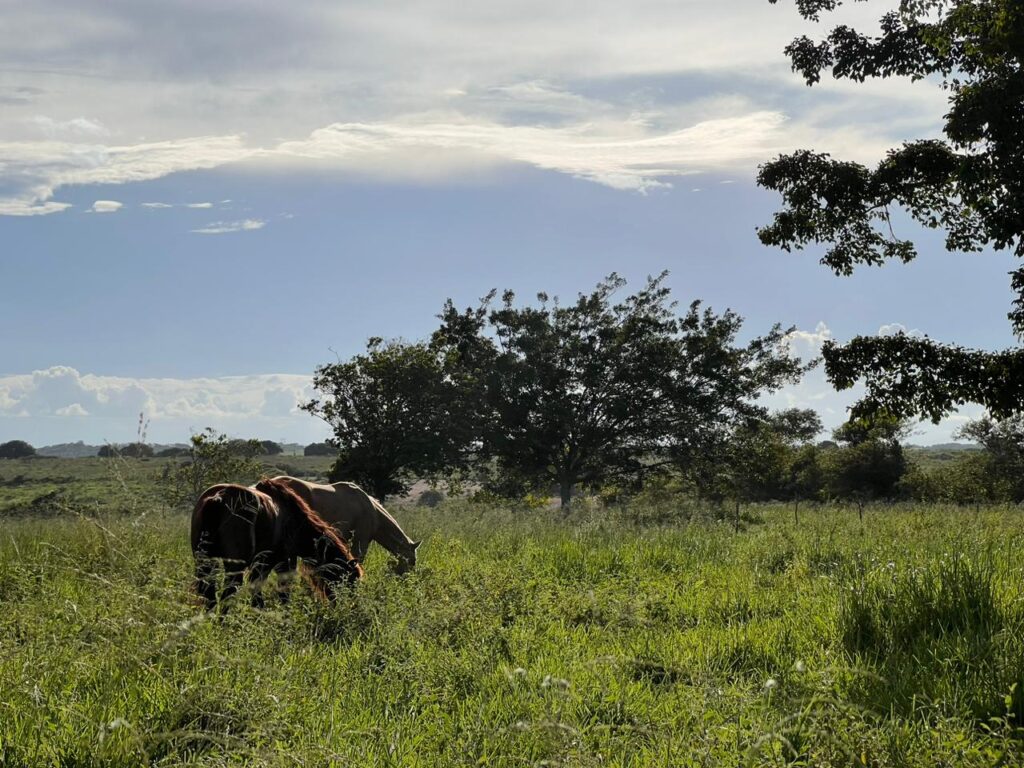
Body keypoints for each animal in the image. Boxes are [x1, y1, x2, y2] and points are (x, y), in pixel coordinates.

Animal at [190, 479, 362, 610]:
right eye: (348, 580)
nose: (348, 606)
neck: (293, 520)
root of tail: (219, 498)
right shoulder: (278, 563)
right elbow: (281, 593)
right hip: (234, 567)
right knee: (227, 594)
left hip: (206, 562)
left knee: (210, 594)